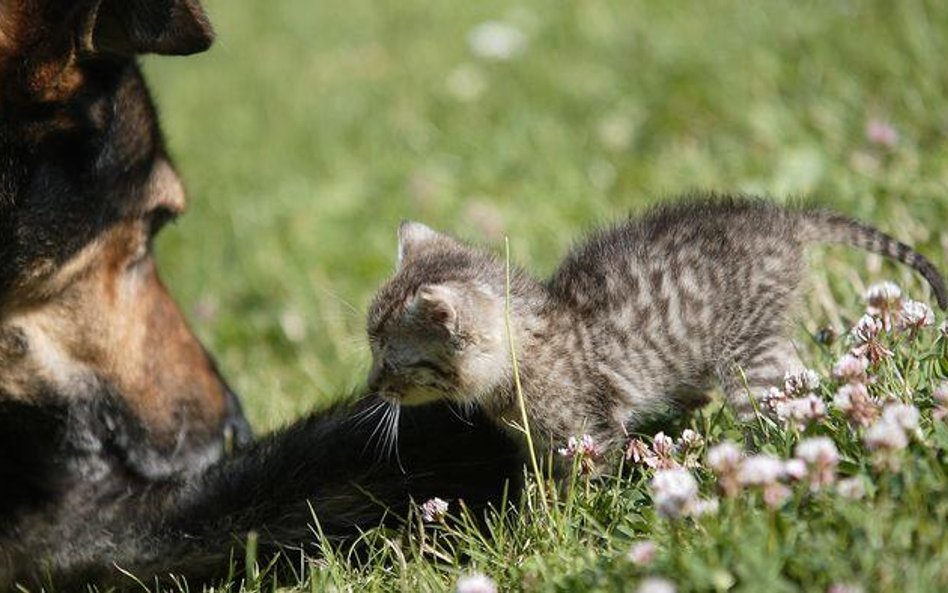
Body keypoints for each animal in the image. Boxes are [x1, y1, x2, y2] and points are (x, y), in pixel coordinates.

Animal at [364, 197, 948, 460]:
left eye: (391, 359)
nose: (372, 386)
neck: (528, 346)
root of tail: (780, 218)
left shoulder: (591, 431)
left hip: (746, 354)